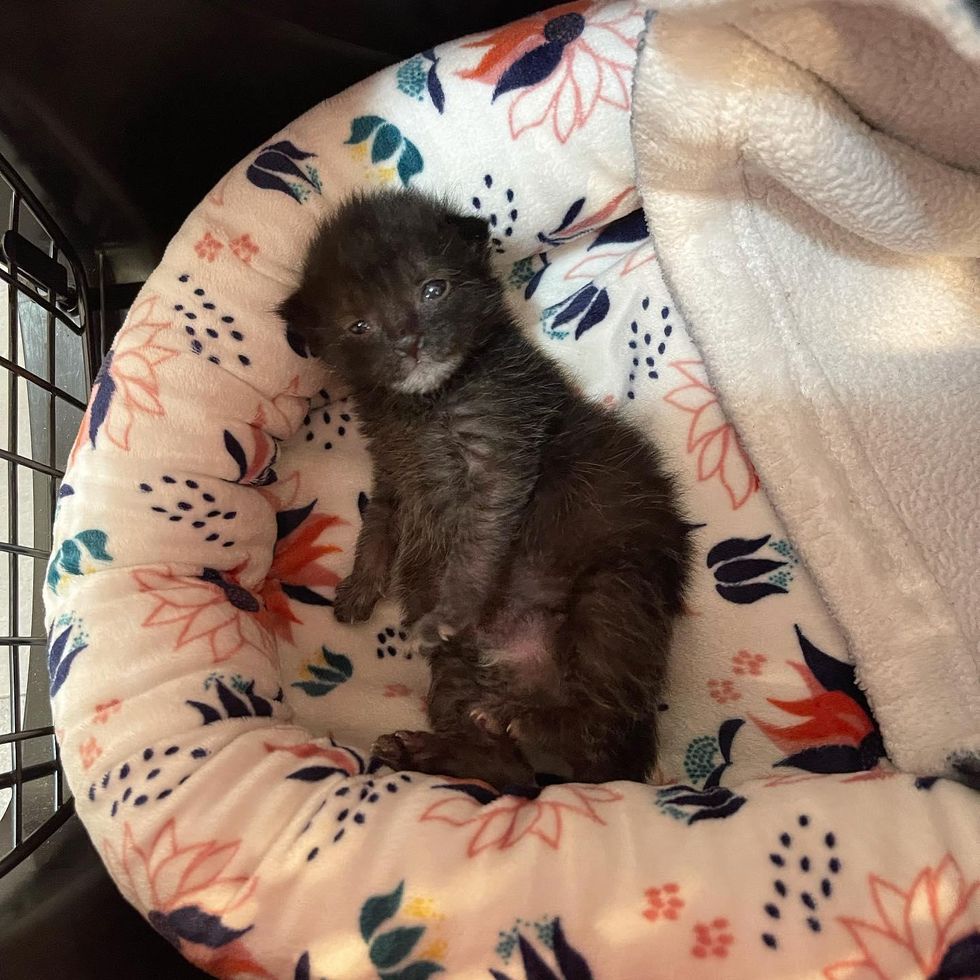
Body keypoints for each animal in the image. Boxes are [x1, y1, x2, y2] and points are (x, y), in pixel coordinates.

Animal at [280, 189, 692, 788]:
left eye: (433, 289)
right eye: (359, 325)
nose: (409, 342)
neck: (424, 404)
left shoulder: (500, 450)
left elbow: (476, 545)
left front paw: (450, 611)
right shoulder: (391, 472)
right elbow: (378, 521)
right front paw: (360, 587)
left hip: (613, 595)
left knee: (594, 737)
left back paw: (526, 723)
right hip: (456, 673)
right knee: (515, 769)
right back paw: (427, 749)